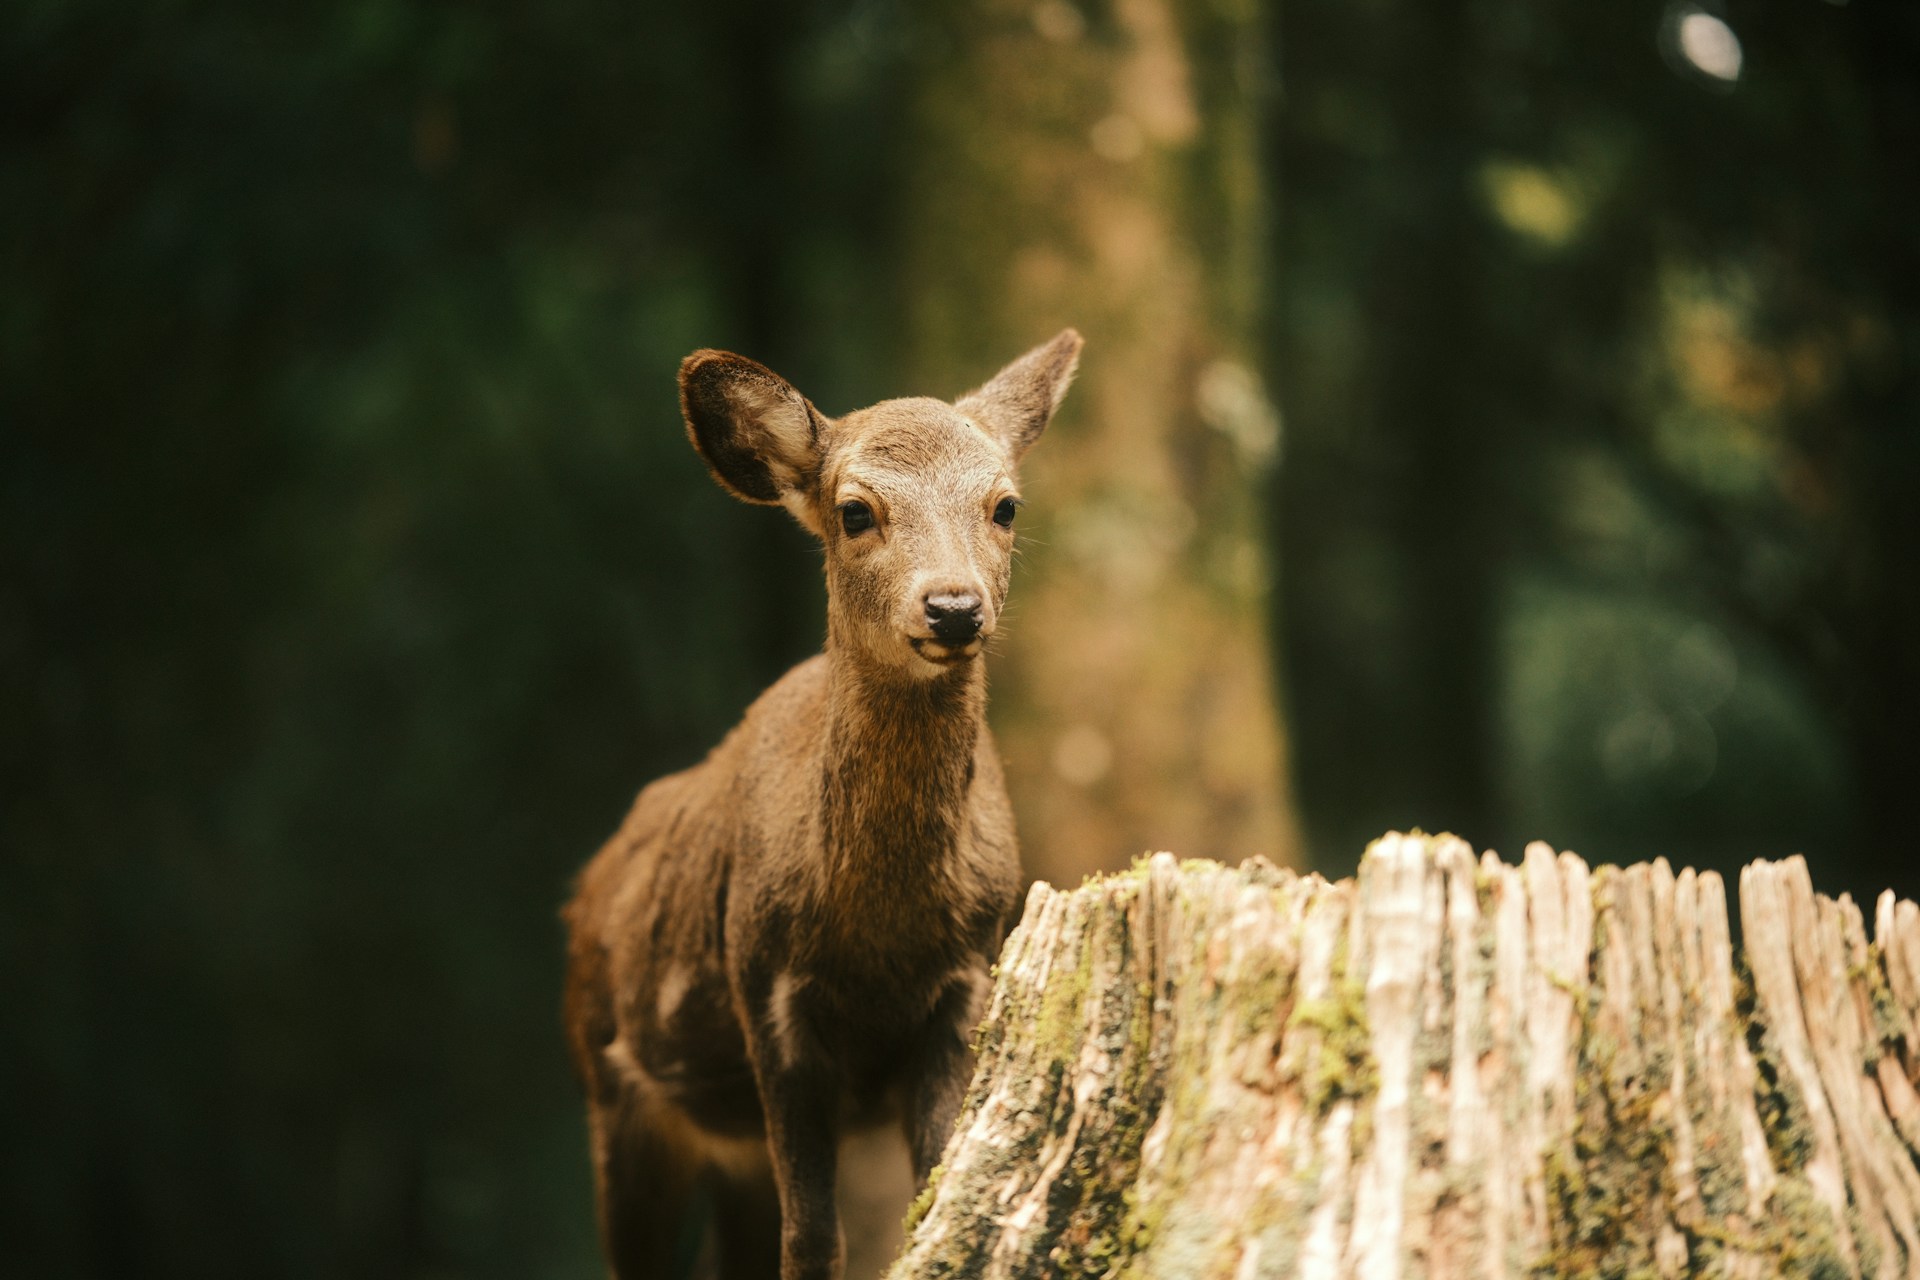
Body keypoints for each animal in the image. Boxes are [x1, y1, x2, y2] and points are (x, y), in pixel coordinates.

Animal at [562, 329, 1084, 1280]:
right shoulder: (767, 987)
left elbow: (931, 1195)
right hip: (612, 1087)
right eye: (854, 511)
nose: (953, 607)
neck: (879, 932)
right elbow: (811, 1238)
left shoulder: (965, 978)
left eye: (1005, 506)